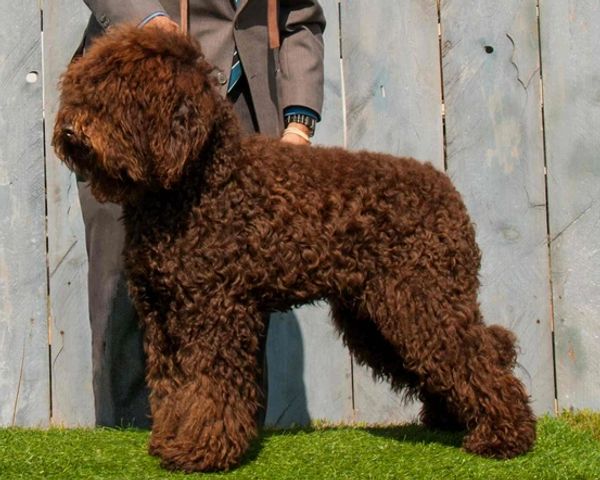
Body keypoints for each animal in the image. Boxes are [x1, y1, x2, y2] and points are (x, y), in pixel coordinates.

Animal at [54, 26, 536, 472]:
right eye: (83, 87)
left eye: (122, 93)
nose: (70, 131)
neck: (199, 184)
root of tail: (448, 190)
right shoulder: (164, 316)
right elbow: (174, 388)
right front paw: (171, 442)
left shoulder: (214, 313)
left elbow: (208, 386)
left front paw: (201, 450)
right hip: (378, 314)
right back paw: (451, 420)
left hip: (422, 298)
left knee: (476, 355)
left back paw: (504, 436)